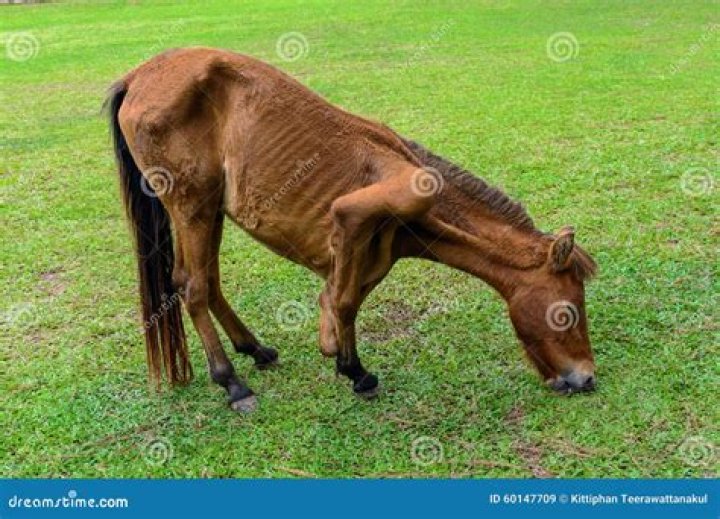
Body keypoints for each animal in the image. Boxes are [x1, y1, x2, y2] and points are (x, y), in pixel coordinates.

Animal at [106, 47, 598, 413]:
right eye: (567, 312)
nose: (586, 378)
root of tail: (136, 77)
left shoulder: (372, 251)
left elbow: (347, 299)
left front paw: (343, 358)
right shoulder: (355, 215)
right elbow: (342, 300)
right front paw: (353, 368)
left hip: (209, 212)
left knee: (207, 281)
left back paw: (256, 350)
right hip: (192, 206)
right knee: (193, 287)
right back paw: (232, 383)